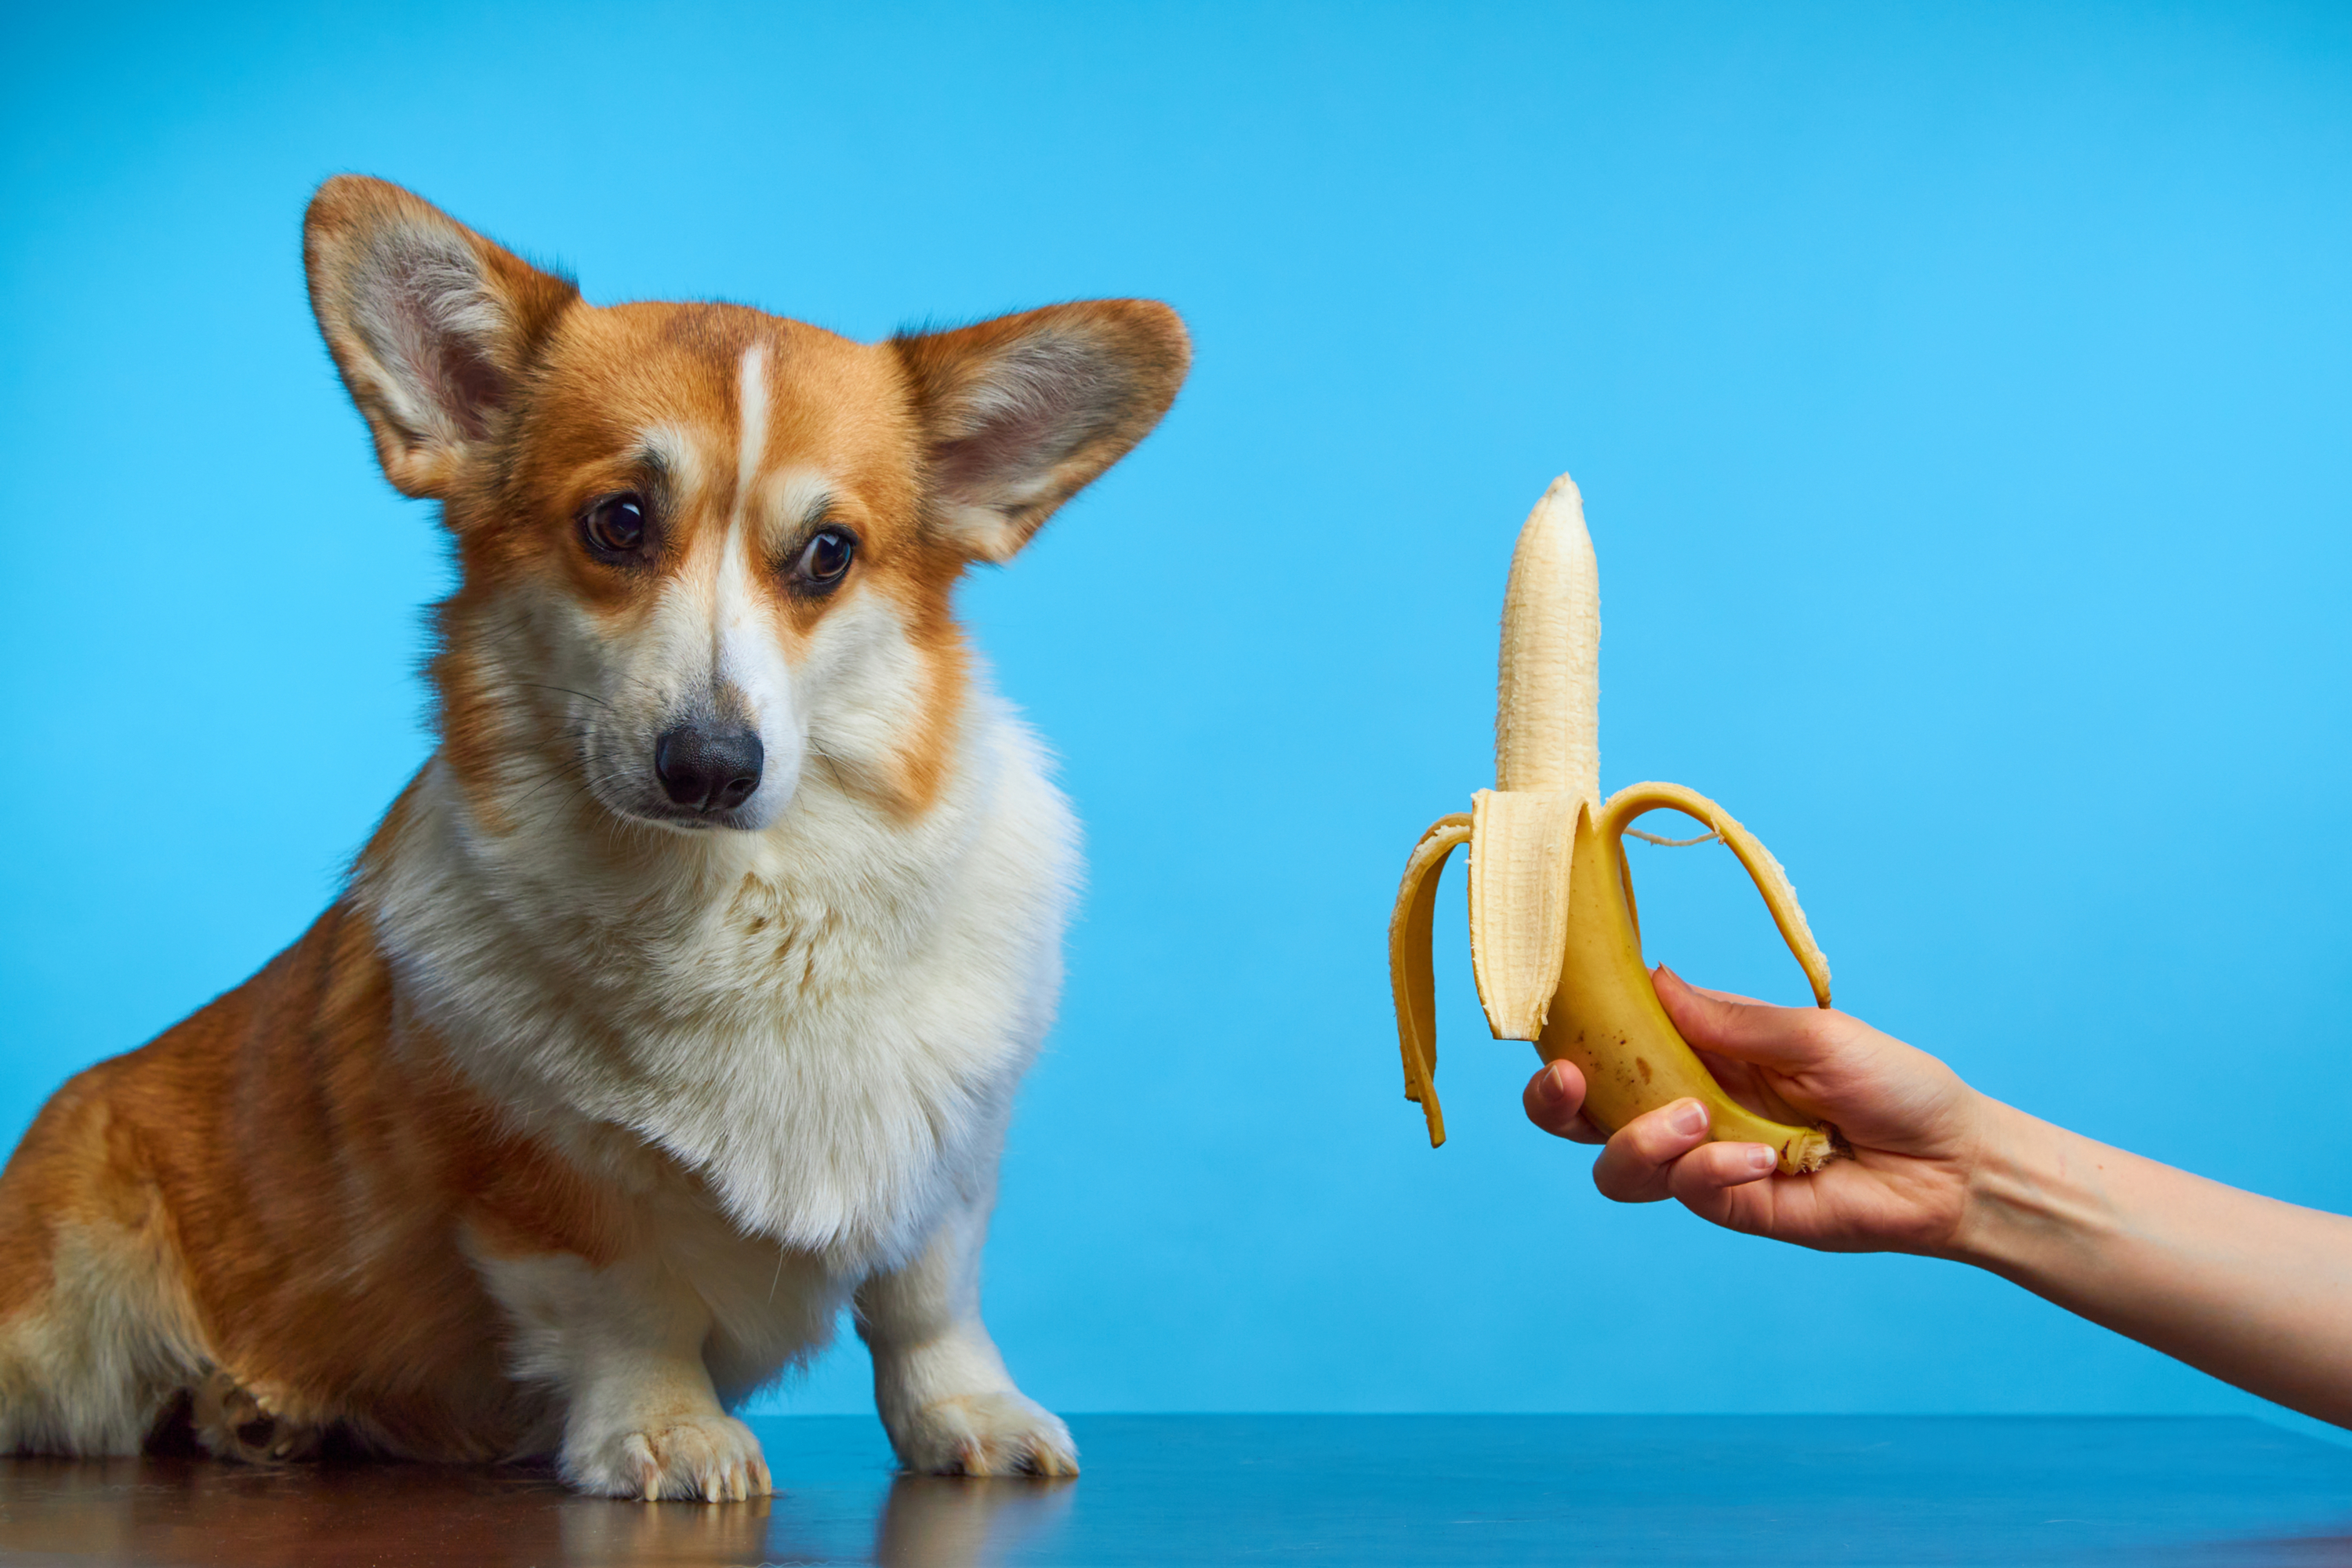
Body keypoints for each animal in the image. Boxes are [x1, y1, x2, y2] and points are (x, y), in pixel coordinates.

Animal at [0, 177, 1185, 1504]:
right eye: (618, 523)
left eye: (829, 554)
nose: (712, 767)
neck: (736, 905)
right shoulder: (548, 1188)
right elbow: (634, 1311)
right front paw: (664, 1431)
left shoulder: (949, 1165)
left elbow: (929, 1304)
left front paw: (969, 1414)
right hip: (63, 1324)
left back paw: (252, 1416)